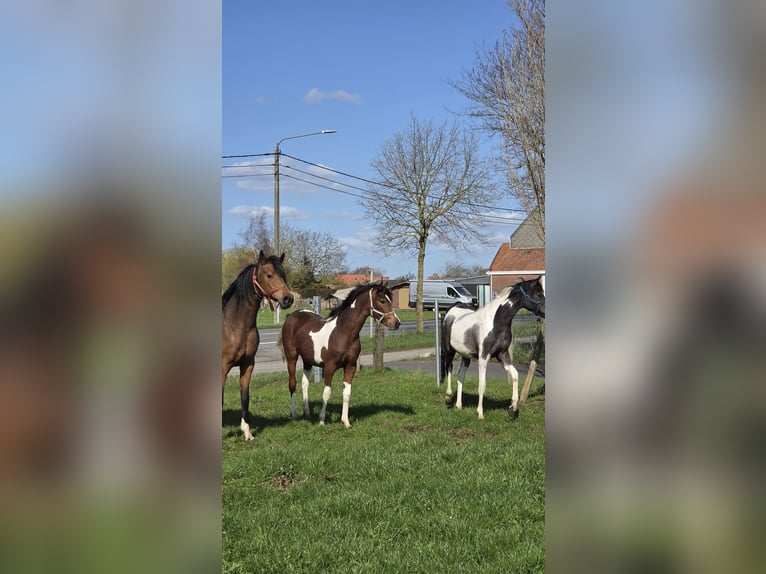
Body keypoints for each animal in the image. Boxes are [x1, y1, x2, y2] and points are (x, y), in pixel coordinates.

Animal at [222, 251, 294, 441]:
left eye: (284, 275)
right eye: (269, 275)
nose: (288, 299)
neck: (234, 325)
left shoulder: (248, 364)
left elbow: (245, 397)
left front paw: (247, 433)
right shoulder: (222, 367)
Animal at [279, 282, 401, 428]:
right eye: (382, 300)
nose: (397, 323)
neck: (342, 332)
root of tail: (291, 316)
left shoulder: (350, 367)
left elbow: (347, 393)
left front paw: (346, 422)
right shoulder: (329, 367)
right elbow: (327, 392)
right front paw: (322, 421)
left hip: (308, 360)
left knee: (304, 383)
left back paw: (307, 414)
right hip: (292, 357)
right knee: (292, 384)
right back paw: (294, 415)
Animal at [440, 276, 545, 420]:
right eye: (538, 294)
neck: (496, 323)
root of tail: (452, 309)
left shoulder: (502, 354)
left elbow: (515, 375)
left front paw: (512, 409)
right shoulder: (483, 357)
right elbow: (482, 385)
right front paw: (480, 413)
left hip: (466, 355)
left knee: (460, 375)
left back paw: (459, 406)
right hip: (449, 350)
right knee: (449, 369)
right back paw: (448, 398)